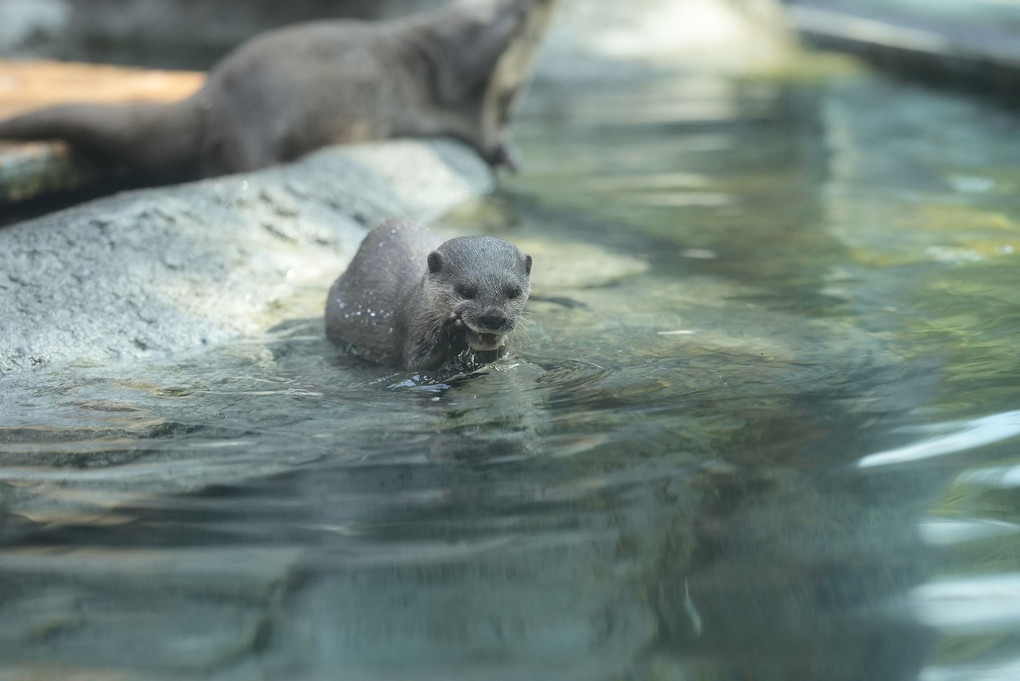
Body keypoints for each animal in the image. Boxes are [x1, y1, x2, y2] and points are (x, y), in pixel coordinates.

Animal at [0, 0, 558, 179]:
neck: (517, 72)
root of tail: (212, 92)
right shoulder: (467, 63)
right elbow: (474, 96)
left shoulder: (507, 95)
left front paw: (513, 153)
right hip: (259, 113)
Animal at [326, 219, 534, 373]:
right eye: (465, 291)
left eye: (514, 292)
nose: (494, 317)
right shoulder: (411, 327)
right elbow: (414, 365)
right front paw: (452, 334)